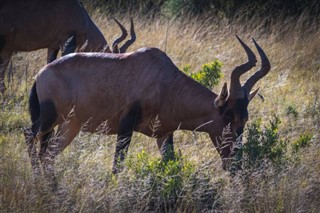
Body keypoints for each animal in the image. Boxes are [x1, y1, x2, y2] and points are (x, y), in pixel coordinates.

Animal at [25, 35, 270, 185]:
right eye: (228, 116)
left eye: (245, 120)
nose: (234, 165)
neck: (164, 81)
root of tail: (41, 74)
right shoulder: (126, 125)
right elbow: (118, 164)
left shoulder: (164, 135)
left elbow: (171, 164)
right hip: (48, 118)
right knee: (30, 136)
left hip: (69, 125)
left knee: (48, 154)